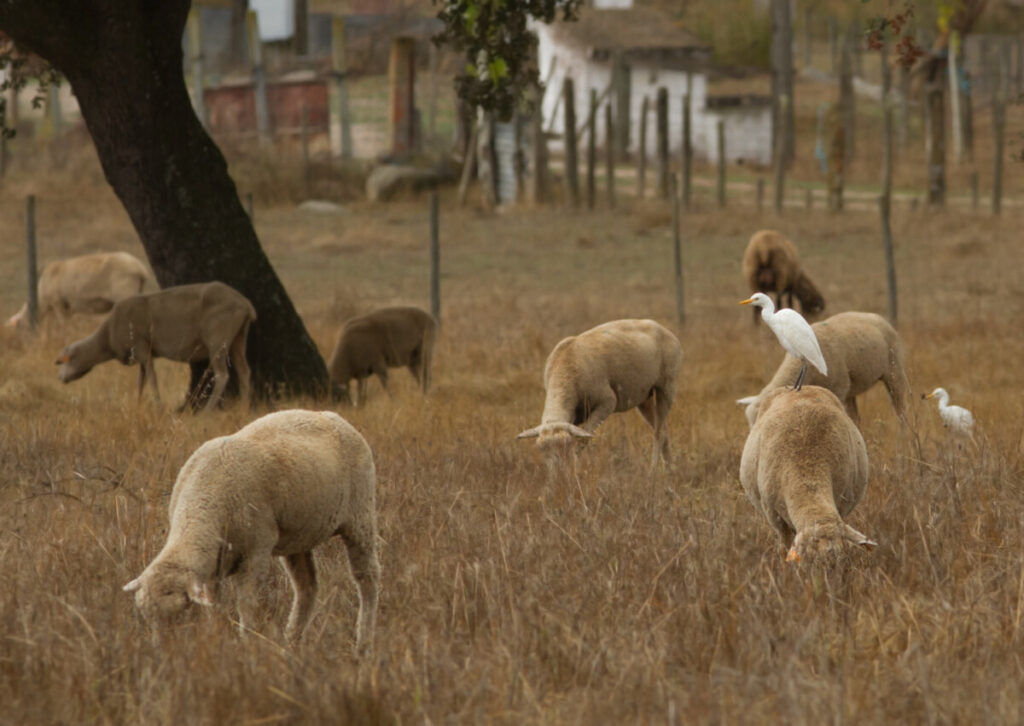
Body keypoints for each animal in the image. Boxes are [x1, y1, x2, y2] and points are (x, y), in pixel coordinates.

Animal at [54, 280, 258, 411]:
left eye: (65, 360)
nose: (60, 377)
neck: (107, 338)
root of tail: (246, 305)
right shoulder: (142, 354)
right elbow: (141, 381)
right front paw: (137, 406)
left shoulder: (142, 348)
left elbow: (152, 378)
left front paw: (158, 407)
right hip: (239, 337)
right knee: (244, 371)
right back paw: (244, 407)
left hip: (217, 340)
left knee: (222, 374)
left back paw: (207, 410)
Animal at [122, 411, 380, 655]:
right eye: (147, 618)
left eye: (180, 613)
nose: (162, 652)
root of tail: (334, 417)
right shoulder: (214, 565)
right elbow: (215, 605)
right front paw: (218, 637)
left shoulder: (257, 550)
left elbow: (246, 604)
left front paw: (246, 642)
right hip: (299, 536)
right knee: (307, 586)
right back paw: (291, 641)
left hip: (361, 514)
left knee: (367, 578)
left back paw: (363, 644)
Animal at [516, 319, 684, 466]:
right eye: (540, 449)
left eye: (565, 444)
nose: (558, 472)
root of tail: (663, 329)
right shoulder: (573, 417)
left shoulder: (607, 402)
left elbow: (582, 441)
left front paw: (575, 470)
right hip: (644, 397)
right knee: (662, 429)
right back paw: (670, 468)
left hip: (666, 387)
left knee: (659, 433)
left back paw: (653, 471)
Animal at [737, 309, 913, 423]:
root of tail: (877, 316)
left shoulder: (839, 388)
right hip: (852, 388)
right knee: (857, 418)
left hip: (894, 370)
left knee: (901, 410)